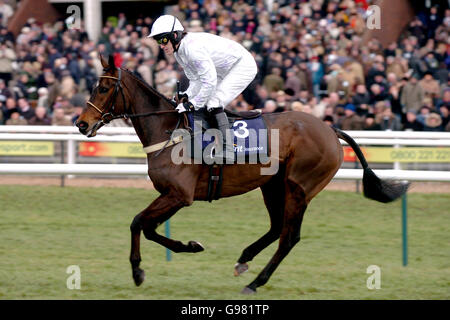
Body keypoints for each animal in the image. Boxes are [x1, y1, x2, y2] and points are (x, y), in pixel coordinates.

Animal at [76, 54, 408, 292]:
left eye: (103, 88)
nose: (81, 123)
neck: (169, 131)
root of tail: (330, 129)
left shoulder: (179, 195)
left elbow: (138, 223)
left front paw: (138, 270)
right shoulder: (172, 195)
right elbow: (148, 228)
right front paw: (188, 246)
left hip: (299, 187)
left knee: (289, 237)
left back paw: (255, 283)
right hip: (272, 185)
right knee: (277, 228)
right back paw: (243, 260)